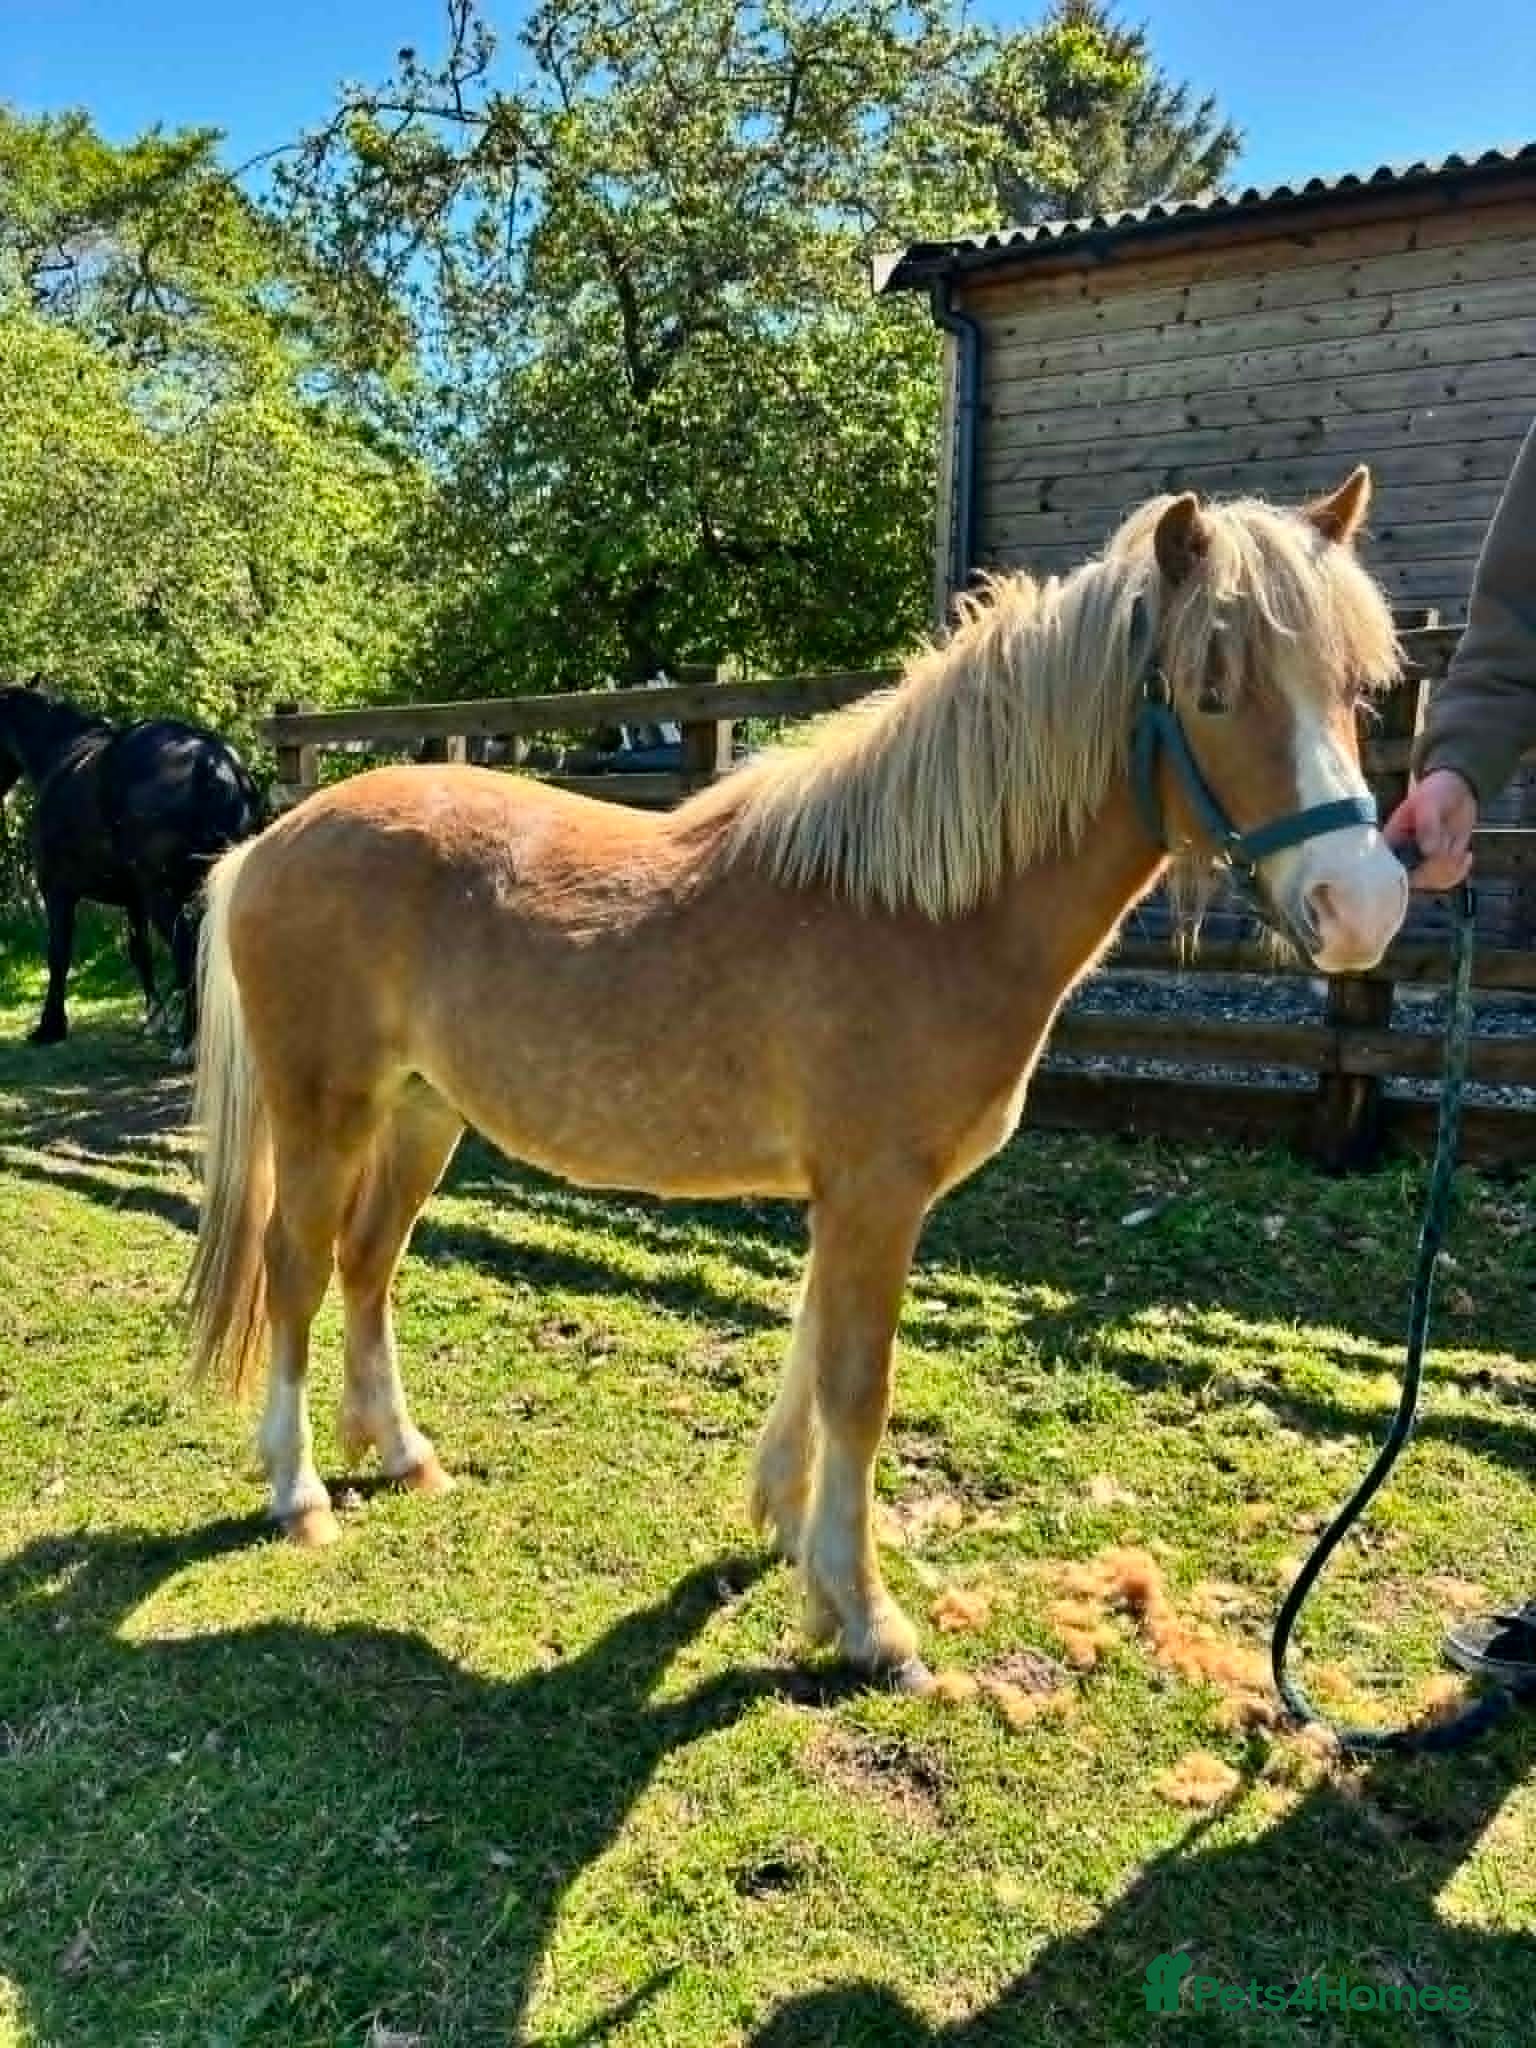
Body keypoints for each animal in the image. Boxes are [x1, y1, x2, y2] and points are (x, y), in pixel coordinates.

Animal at [0, 680, 264, 1053]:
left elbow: (58, 954)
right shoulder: (133, 900)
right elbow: (141, 953)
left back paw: (189, 1042)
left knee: (188, 954)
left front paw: (50, 1026)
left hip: (163, 895)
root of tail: (211, 763)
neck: (60, 755)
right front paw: (155, 1020)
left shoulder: (57, 891)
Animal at [184, 472, 1409, 1686]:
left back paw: (400, 1453)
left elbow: (813, 1353)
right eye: (1212, 686)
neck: (920, 911)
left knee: (368, 1262)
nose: (1364, 904)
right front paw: (867, 1621)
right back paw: (297, 1491)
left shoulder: (850, 1195)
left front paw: (789, 1531)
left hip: (420, 1113)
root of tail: (270, 841)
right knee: (297, 1268)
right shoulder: (876, 1192)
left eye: (1359, 688)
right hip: (325, 1113)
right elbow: (857, 1388)